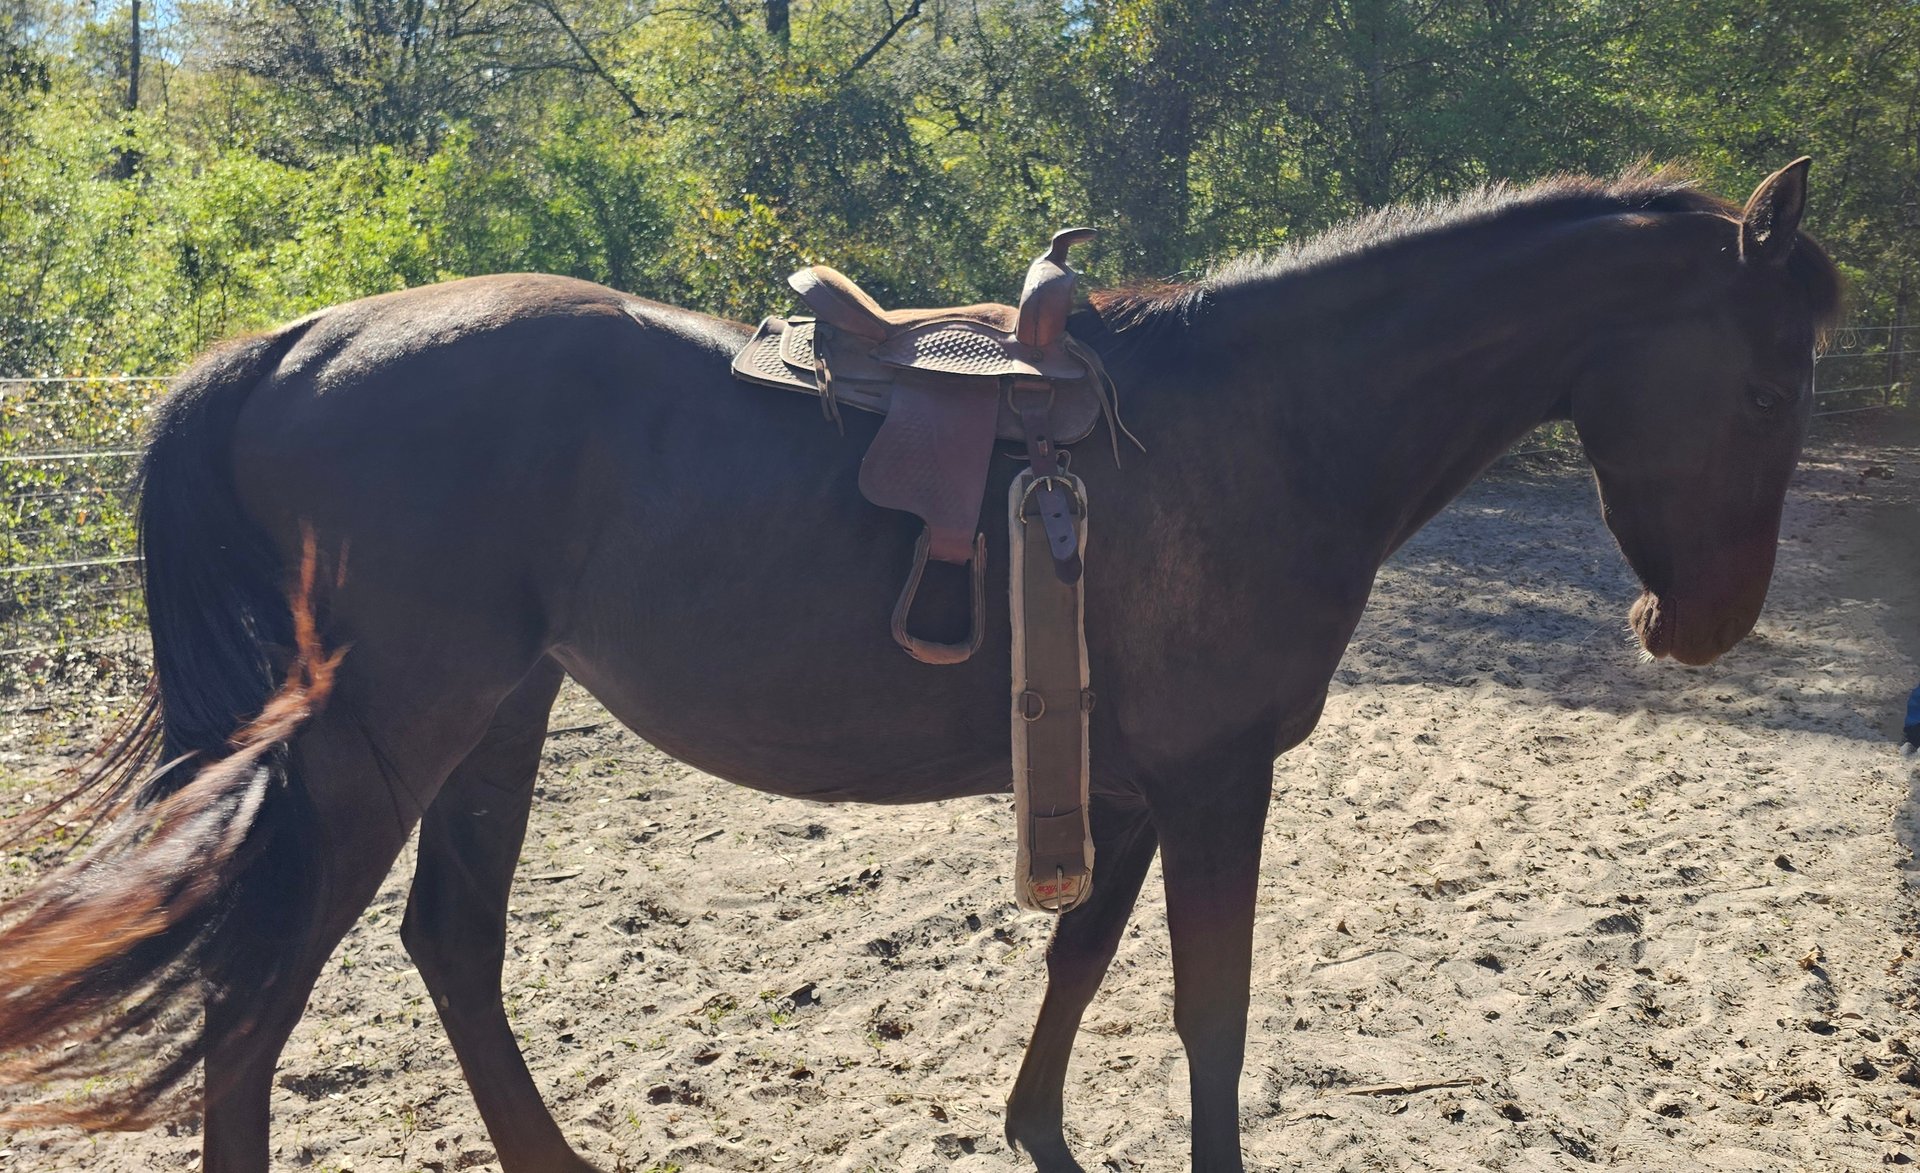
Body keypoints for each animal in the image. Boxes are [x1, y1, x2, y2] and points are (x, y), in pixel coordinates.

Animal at [0, 159, 1841, 1172]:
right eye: (1768, 381)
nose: (1702, 628)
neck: (1267, 420)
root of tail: (297, 341)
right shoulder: (1219, 781)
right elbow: (1213, 1007)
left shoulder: (1128, 779)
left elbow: (1081, 961)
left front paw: (1032, 1127)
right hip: (390, 740)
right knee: (260, 988)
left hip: (500, 716)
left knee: (449, 944)